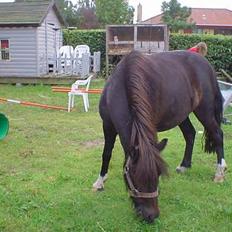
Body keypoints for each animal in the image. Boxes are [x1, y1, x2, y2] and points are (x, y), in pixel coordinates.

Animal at [92, 50, 227, 223]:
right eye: (135, 177)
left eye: (158, 175)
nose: (151, 215)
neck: (121, 86)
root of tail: (205, 63)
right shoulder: (108, 125)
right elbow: (106, 153)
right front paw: (100, 182)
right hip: (182, 114)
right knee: (190, 134)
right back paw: (184, 166)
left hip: (205, 110)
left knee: (218, 135)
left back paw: (219, 172)